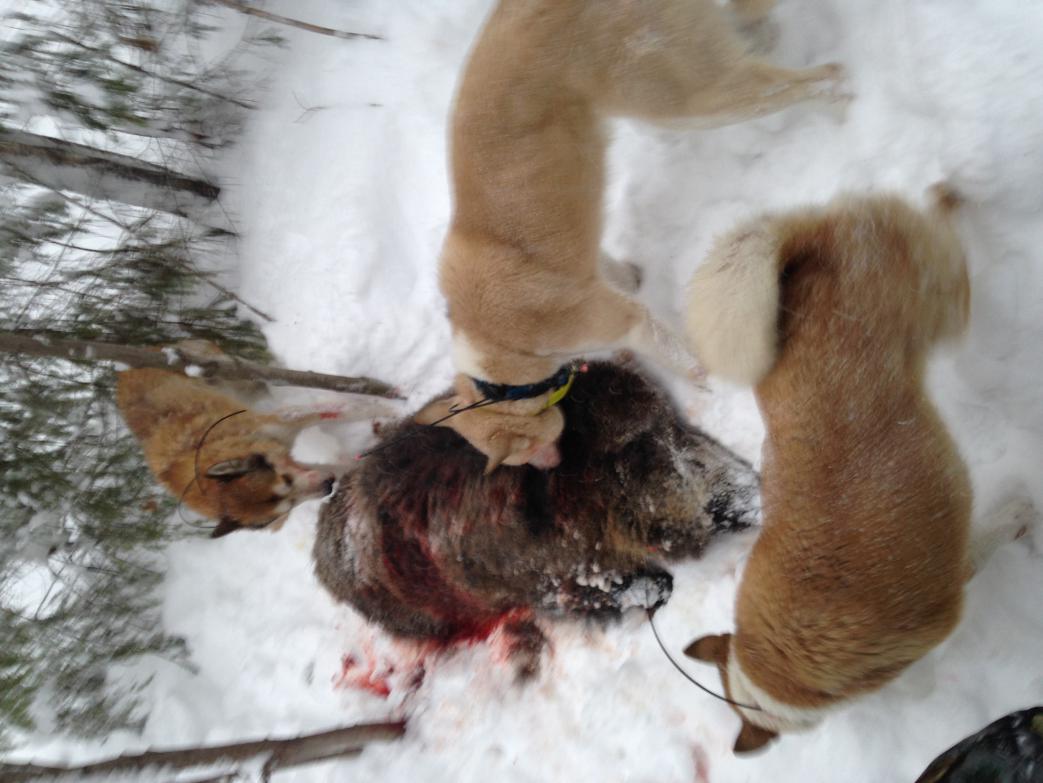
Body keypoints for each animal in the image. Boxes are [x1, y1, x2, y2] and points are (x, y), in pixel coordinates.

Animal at [116, 343, 396, 537]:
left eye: (286, 480)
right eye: (287, 507)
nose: (328, 486)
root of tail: (123, 373)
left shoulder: (285, 421)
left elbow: (348, 409)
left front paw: (391, 407)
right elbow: (340, 464)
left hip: (231, 376)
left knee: (263, 377)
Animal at [314, 360, 761, 673]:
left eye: (673, 421)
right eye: (633, 446)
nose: (754, 495)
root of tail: (322, 561)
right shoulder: (551, 583)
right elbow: (648, 586)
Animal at [422, 0, 848, 473]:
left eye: (525, 454)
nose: (551, 468)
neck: (495, 351)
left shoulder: (626, 322)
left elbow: (681, 358)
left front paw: (708, 384)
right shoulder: (592, 273)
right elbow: (613, 272)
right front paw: (631, 275)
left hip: (687, 99)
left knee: (813, 79)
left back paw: (841, 109)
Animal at [682, 187, 973, 753]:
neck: (784, 666)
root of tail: (803, 240)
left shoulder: (944, 606)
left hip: (944, 303)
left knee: (950, 248)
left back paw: (955, 195)